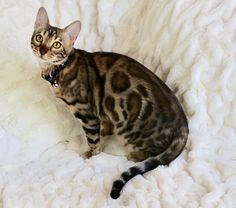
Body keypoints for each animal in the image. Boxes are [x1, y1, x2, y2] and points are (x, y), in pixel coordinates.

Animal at [30, 7, 188, 199]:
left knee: (154, 154)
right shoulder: (100, 113)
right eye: (39, 37)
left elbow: (93, 140)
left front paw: (91, 155)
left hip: (130, 131)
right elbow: (102, 127)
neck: (58, 70)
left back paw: (134, 156)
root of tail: (183, 124)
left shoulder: (87, 113)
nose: (43, 50)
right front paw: (103, 132)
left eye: (57, 44)